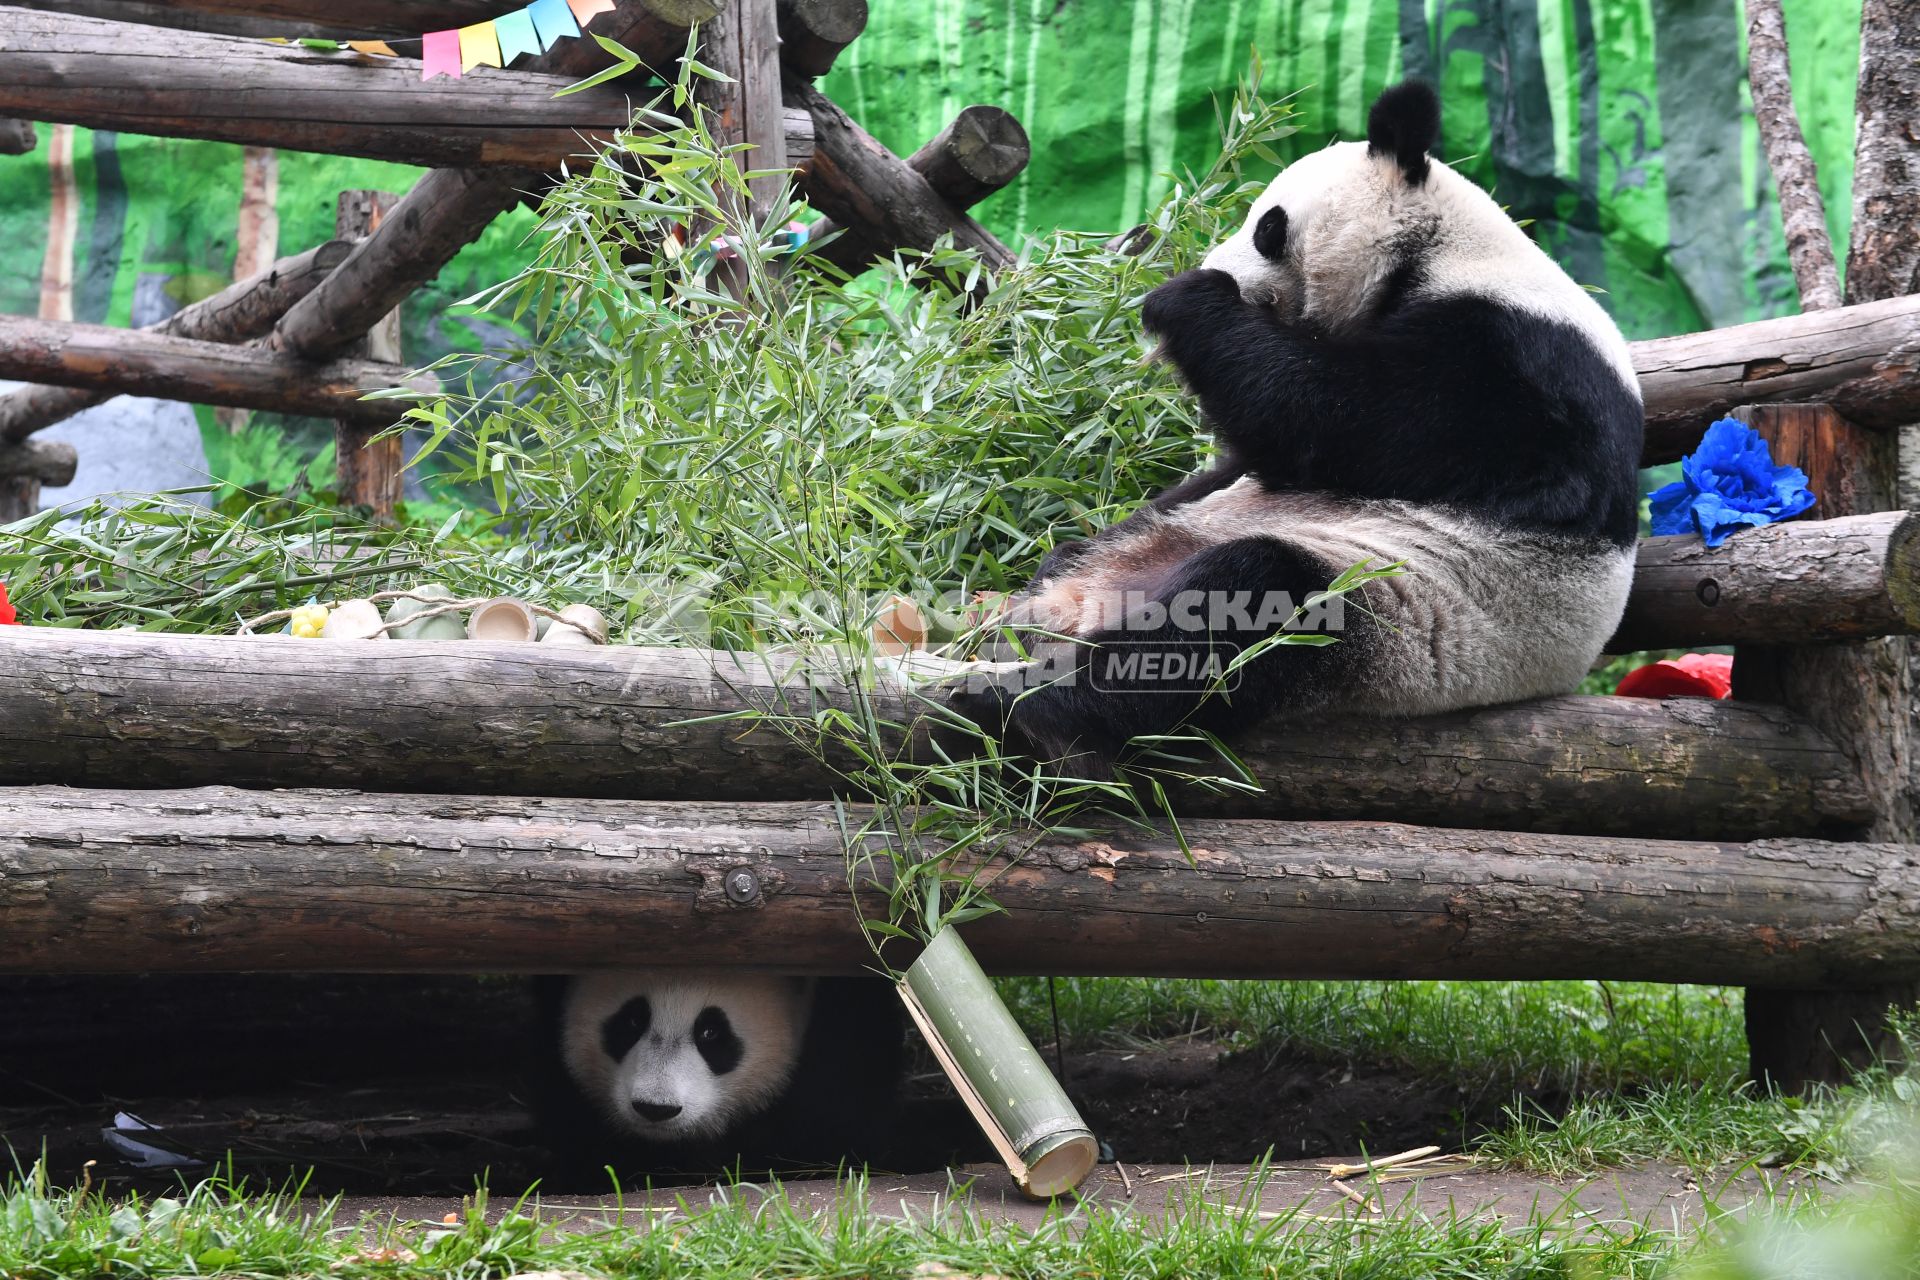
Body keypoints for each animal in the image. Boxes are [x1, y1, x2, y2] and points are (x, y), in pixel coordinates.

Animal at [952, 84, 1643, 775]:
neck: (1442, 253)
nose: (1219, 266)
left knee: (1243, 602)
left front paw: (1184, 296)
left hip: (1395, 614)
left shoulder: (1519, 366)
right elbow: (1255, 458)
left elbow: (1344, 419)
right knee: (1105, 552)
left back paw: (1044, 710)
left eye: (1268, 226)